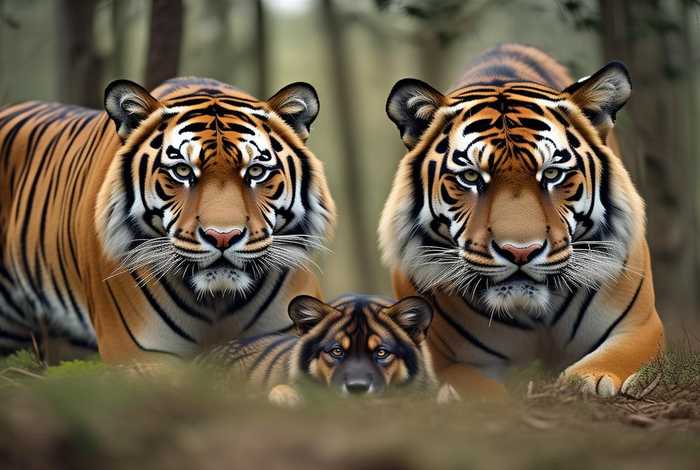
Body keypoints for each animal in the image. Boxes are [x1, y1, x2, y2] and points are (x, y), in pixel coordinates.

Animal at [379, 44, 664, 397]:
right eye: (470, 177)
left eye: (552, 174)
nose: (520, 252)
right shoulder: (447, 361)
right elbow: (476, 387)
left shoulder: (640, 327)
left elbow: (608, 360)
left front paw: (585, 382)